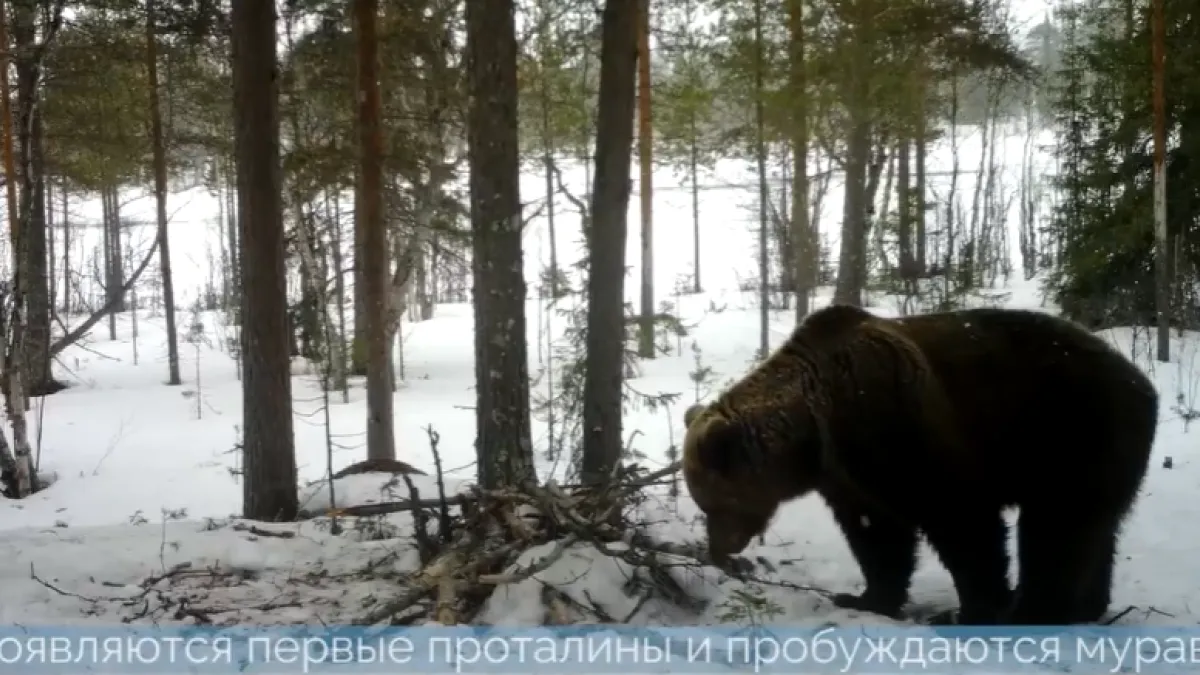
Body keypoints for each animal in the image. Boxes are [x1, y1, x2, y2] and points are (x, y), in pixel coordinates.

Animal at [686, 302, 1161, 624]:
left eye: (712, 504)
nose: (718, 549)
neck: (815, 429)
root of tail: (1143, 383)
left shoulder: (900, 428)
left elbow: (962, 521)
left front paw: (974, 609)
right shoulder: (851, 476)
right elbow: (877, 536)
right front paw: (865, 598)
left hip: (1072, 432)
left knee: (1056, 527)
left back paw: (1033, 611)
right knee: (1097, 528)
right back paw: (1088, 605)